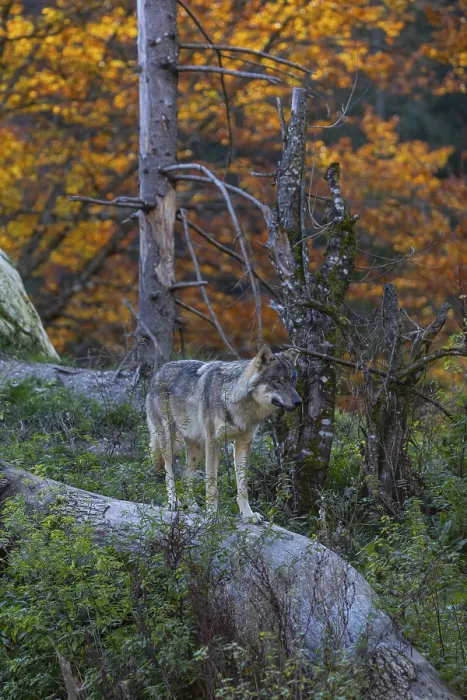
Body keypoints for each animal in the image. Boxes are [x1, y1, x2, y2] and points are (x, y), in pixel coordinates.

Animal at [146, 345, 301, 523]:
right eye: (277, 381)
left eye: (292, 381)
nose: (299, 402)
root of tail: (158, 372)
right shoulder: (214, 442)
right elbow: (212, 486)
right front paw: (212, 515)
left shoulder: (243, 444)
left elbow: (242, 487)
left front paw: (248, 515)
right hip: (170, 443)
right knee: (168, 472)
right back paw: (174, 502)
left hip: (197, 449)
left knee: (185, 477)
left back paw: (192, 505)